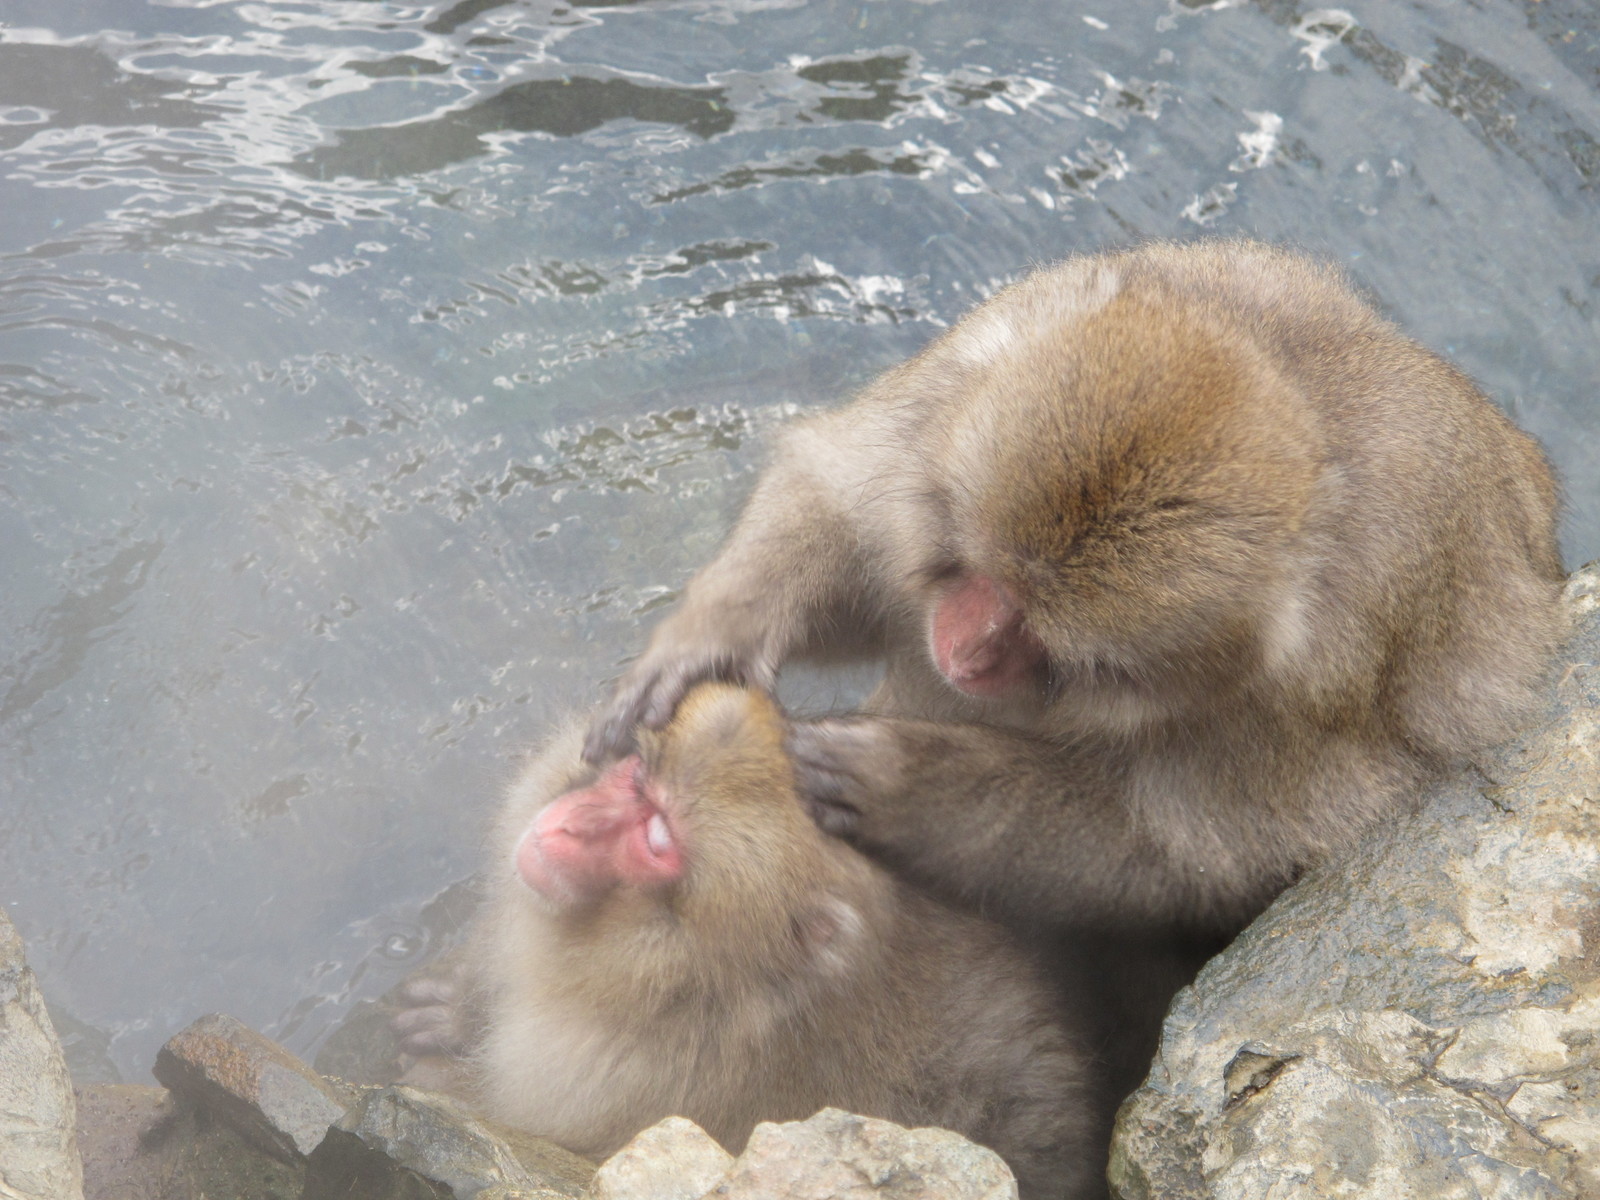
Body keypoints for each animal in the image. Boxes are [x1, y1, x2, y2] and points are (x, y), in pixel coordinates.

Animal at [406, 684, 1094, 1200]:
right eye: (638, 777)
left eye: (658, 839)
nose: (566, 826)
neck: (695, 988)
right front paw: (458, 1009)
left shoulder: (641, 1083)